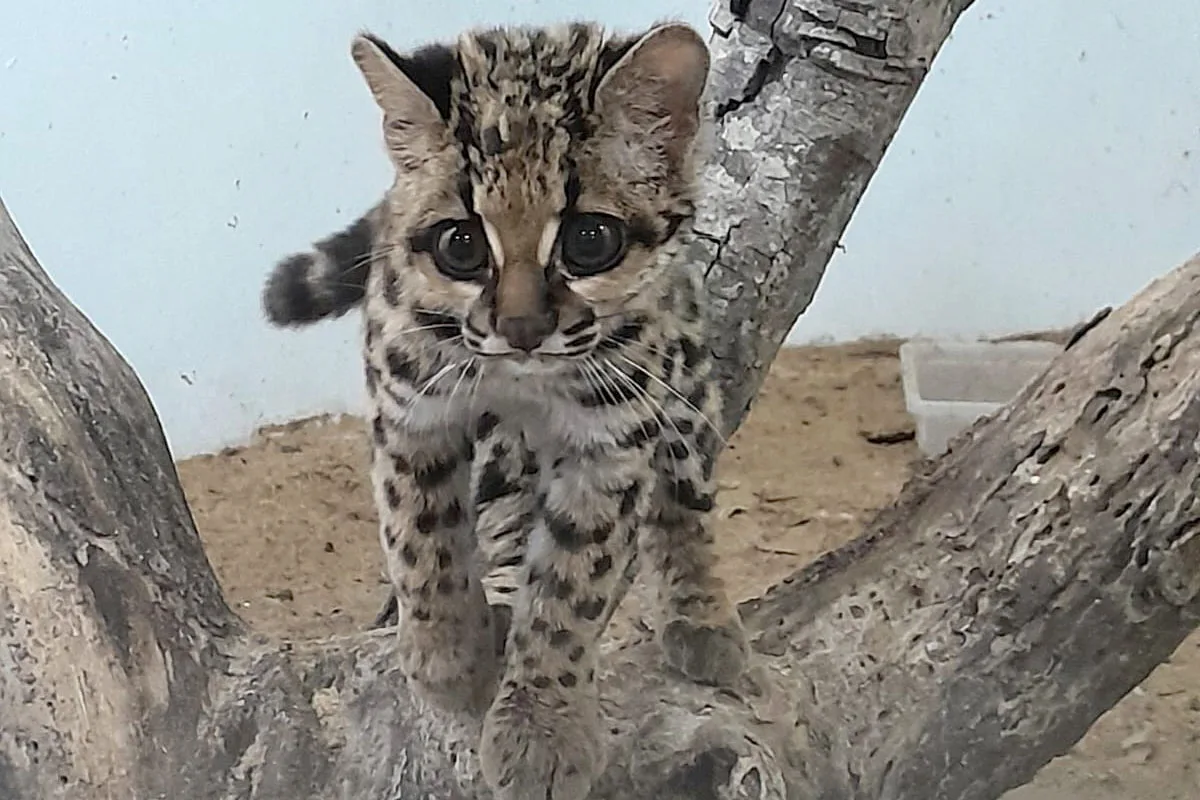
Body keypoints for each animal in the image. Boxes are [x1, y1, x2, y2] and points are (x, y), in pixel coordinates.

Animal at [265, 20, 739, 800]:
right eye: (461, 244)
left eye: (589, 240)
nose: (521, 329)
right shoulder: (408, 401)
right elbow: (419, 536)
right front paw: (445, 655)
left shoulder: (609, 439)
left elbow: (572, 586)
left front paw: (541, 726)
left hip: (683, 376)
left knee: (687, 488)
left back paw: (703, 617)